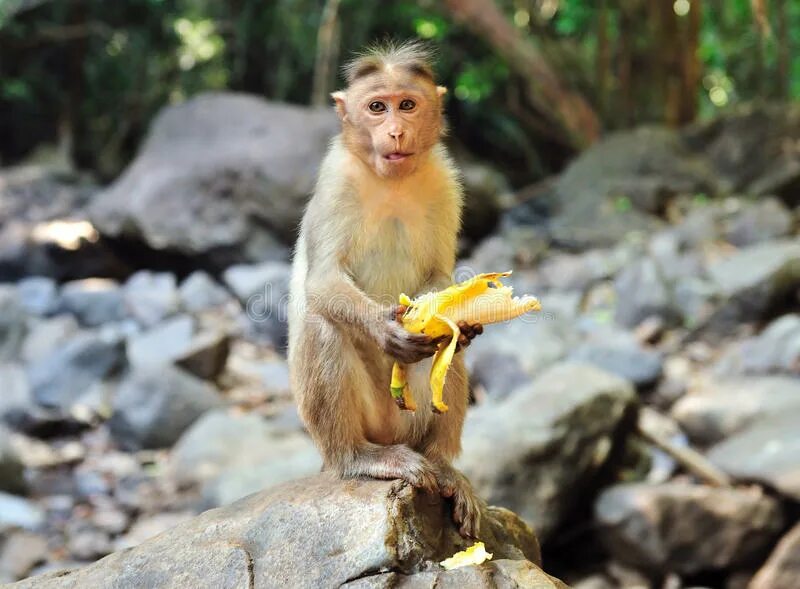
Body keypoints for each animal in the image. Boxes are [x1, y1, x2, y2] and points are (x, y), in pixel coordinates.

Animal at [290, 40, 484, 536]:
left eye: (407, 105)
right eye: (377, 107)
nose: (396, 131)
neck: (389, 181)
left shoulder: (446, 181)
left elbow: (439, 279)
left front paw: (455, 320)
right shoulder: (336, 180)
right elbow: (323, 281)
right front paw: (387, 331)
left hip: (410, 418)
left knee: (447, 354)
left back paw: (442, 464)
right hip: (369, 420)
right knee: (324, 325)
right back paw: (361, 458)